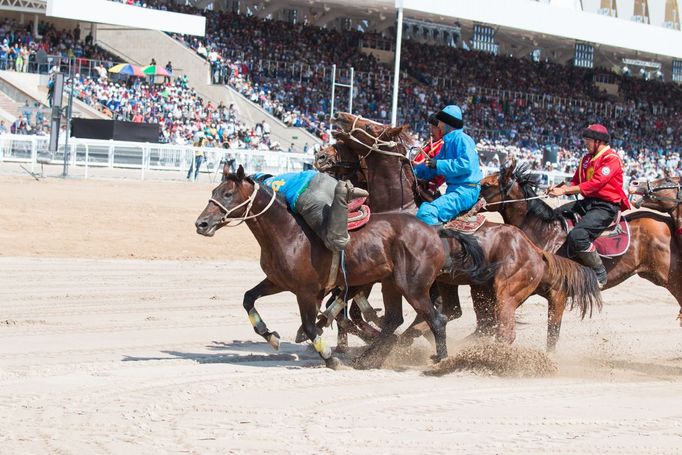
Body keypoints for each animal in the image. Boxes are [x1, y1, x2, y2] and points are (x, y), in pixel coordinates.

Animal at [194, 166, 492, 368]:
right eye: (213, 192)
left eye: (228, 193)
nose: (201, 224)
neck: (289, 232)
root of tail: (434, 230)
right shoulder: (278, 281)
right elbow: (248, 298)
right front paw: (270, 335)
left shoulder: (306, 292)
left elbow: (311, 326)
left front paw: (329, 357)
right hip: (391, 284)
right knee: (393, 321)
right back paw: (368, 359)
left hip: (414, 287)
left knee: (436, 319)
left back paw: (440, 359)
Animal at [326, 114, 596, 350]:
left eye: (370, 127)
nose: (338, 117)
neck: (400, 208)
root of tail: (535, 250)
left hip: (506, 292)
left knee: (503, 329)